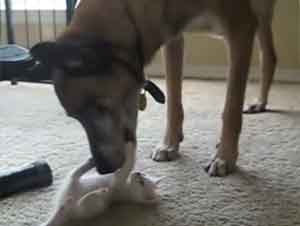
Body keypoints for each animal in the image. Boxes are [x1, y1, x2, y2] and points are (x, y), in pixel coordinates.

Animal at [29, 0, 276, 177]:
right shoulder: (172, 35)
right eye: (75, 117)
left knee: (269, 56)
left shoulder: (241, 28)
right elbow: (174, 102)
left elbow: (231, 107)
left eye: (100, 107)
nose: (103, 169)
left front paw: (225, 157)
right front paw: (169, 144)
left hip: (261, 12)